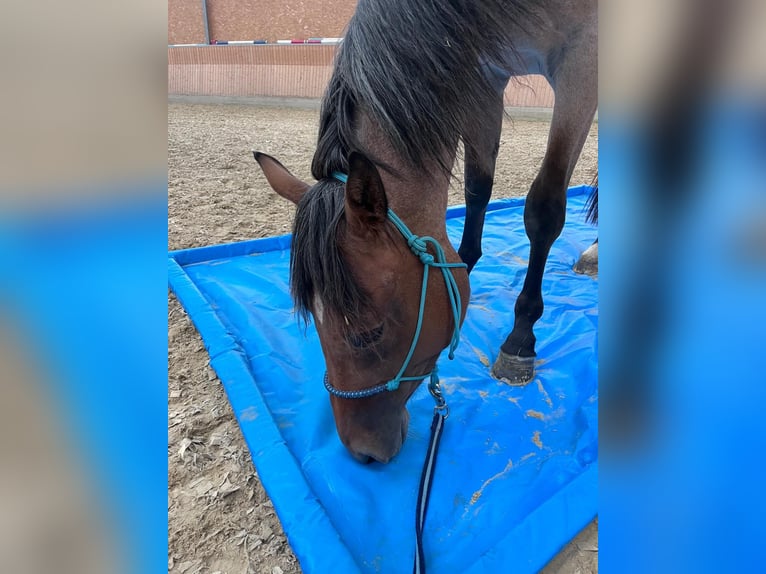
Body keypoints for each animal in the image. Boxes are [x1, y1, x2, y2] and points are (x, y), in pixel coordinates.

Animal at [255, 0, 596, 464]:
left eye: (368, 334)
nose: (361, 453)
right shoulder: (485, 72)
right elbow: (477, 187)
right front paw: (465, 267)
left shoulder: (582, 61)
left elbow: (544, 210)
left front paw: (519, 337)